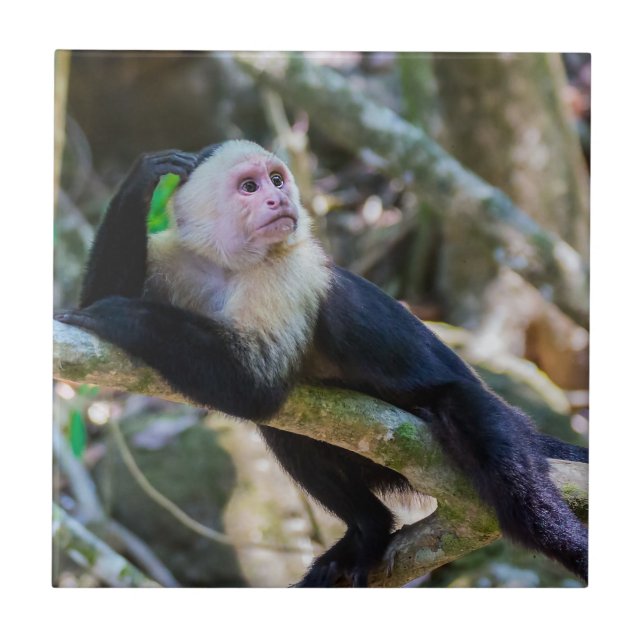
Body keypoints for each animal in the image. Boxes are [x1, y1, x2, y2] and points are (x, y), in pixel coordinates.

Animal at [55, 140, 588, 587]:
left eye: (276, 180)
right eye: (250, 187)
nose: (278, 200)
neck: (230, 268)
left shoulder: (287, 271)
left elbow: (256, 387)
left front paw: (121, 315)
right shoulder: (177, 257)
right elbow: (104, 294)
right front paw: (142, 178)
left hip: (485, 413)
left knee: (497, 456)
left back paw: (565, 539)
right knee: (289, 433)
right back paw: (369, 530)